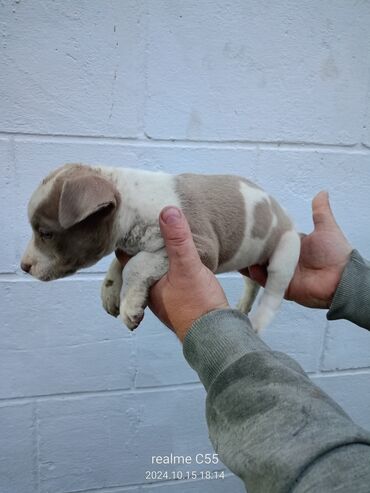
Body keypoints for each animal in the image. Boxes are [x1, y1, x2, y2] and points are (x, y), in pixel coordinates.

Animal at [21, 164, 300, 330]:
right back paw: (242, 306)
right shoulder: (128, 246)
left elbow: (135, 265)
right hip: (249, 260)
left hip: (286, 251)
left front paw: (130, 306)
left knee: (273, 294)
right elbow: (117, 265)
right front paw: (110, 292)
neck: (130, 206)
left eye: (45, 233)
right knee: (252, 281)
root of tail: (283, 213)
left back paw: (256, 324)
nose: (23, 267)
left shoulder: (204, 248)